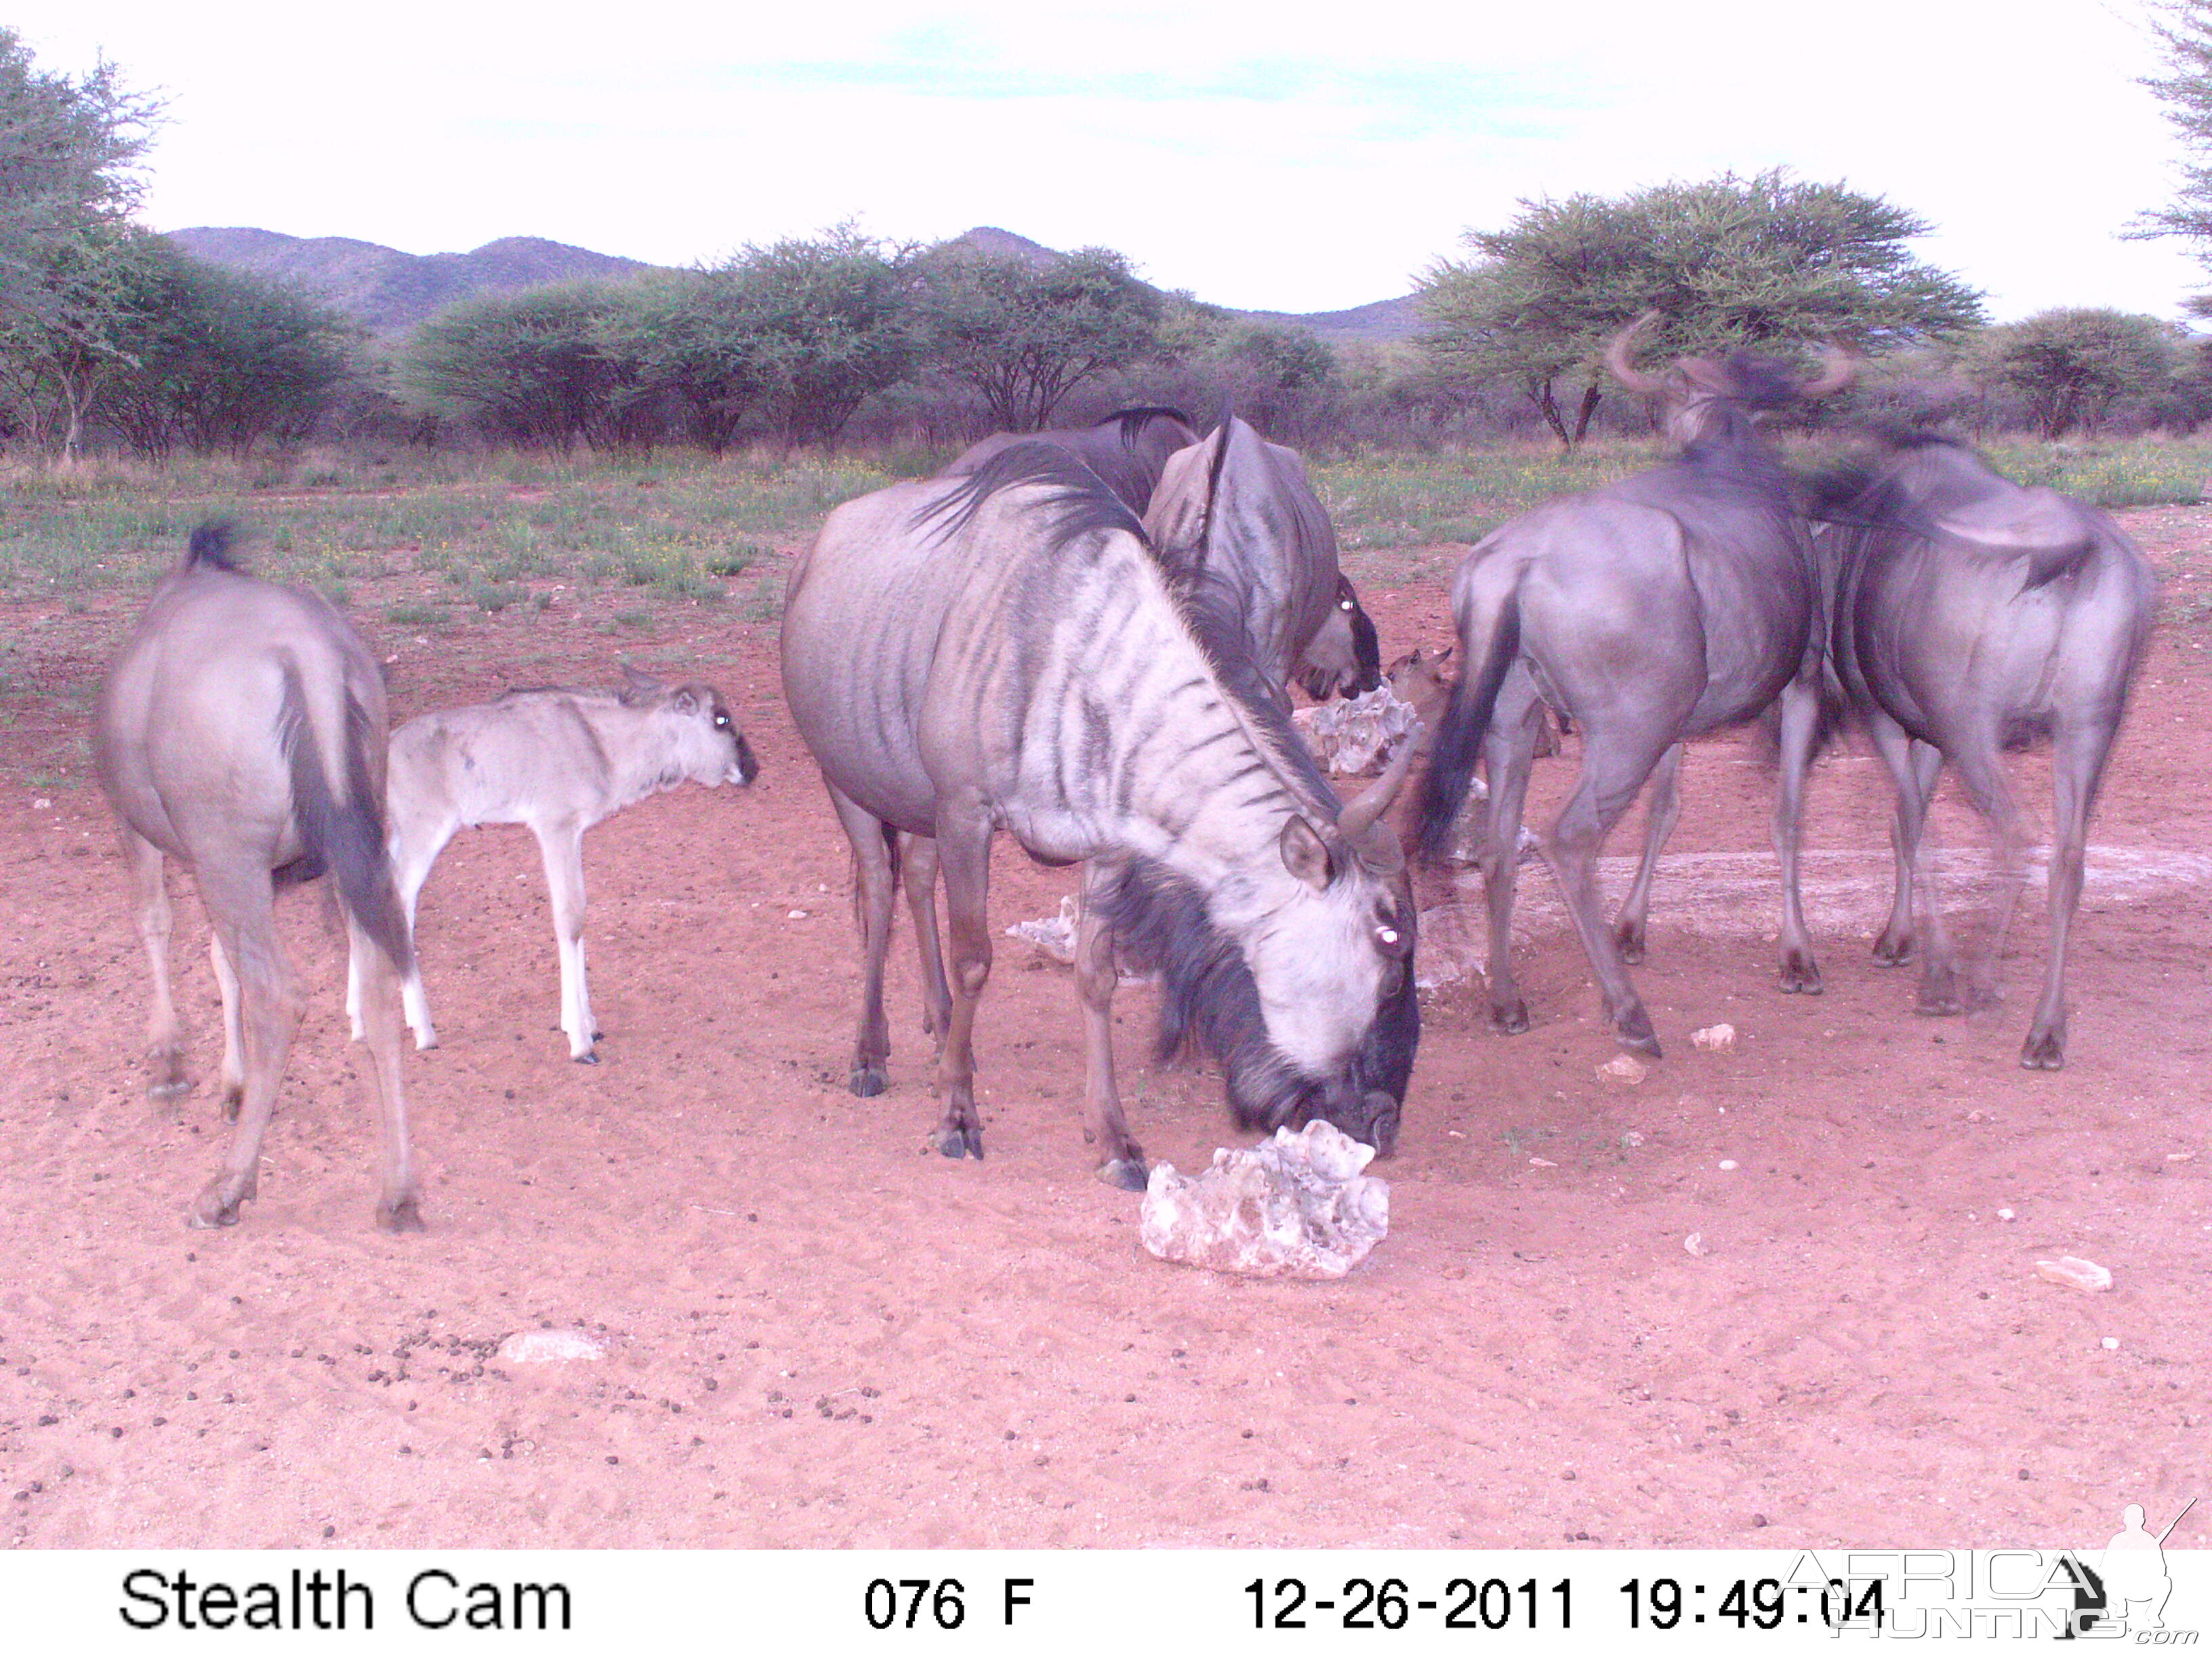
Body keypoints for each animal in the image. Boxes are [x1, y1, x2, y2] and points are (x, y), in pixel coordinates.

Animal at [349, 668, 756, 1057]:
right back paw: (423, 1029)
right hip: (425, 832)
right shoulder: (555, 827)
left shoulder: (574, 833)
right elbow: (570, 918)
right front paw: (579, 1039)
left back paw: (360, 1020)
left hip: (397, 835)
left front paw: (587, 1023)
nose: (751, 768)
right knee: (397, 903)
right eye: (720, 719)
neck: (602, 745)